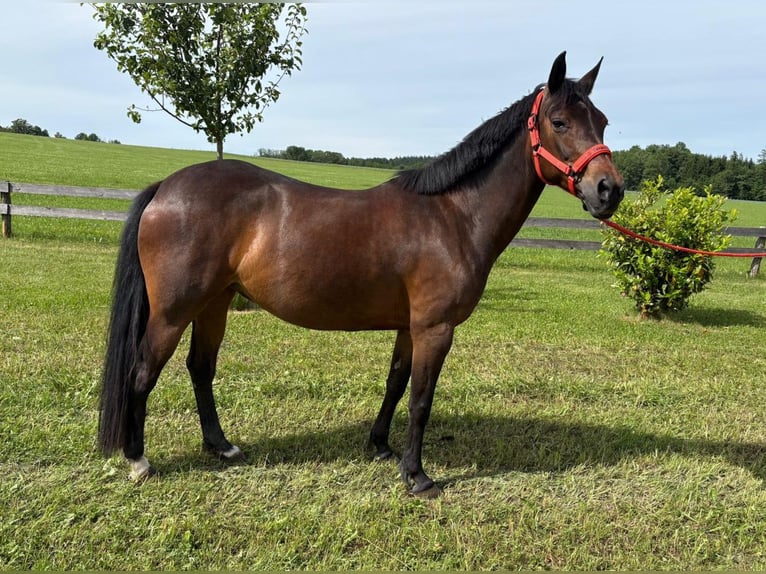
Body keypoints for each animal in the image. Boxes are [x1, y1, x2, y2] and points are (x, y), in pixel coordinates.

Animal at [98, 51, 624, 497]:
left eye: (601, 121)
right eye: (559, 122)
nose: (610, 190)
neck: (452, 215)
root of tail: (167, 188)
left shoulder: (410, 326)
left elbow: (395, 383)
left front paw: (380, 446)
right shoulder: (435, 328)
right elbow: (421, 399)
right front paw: (417, 476)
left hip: (216, 302)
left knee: (200, 368)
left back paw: (221, 446)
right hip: (174, 310)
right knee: (142, 372)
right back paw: (139, 460)